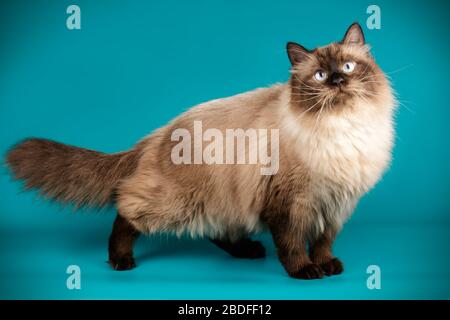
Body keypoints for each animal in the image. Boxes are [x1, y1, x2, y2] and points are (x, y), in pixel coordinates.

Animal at [5, 22, 396, 278]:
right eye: (319, 76)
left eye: (348, 66)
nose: (338, 80)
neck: (342, 129)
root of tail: (157, 134)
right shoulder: (292, 202)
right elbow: (293, 243)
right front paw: (305, 271)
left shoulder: (338, 202)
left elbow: (324, 241)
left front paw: (328, 265)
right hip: (173, 202)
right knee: (126, 211)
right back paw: (121, 261)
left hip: (223, 199)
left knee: (216, 231)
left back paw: (248, 251)